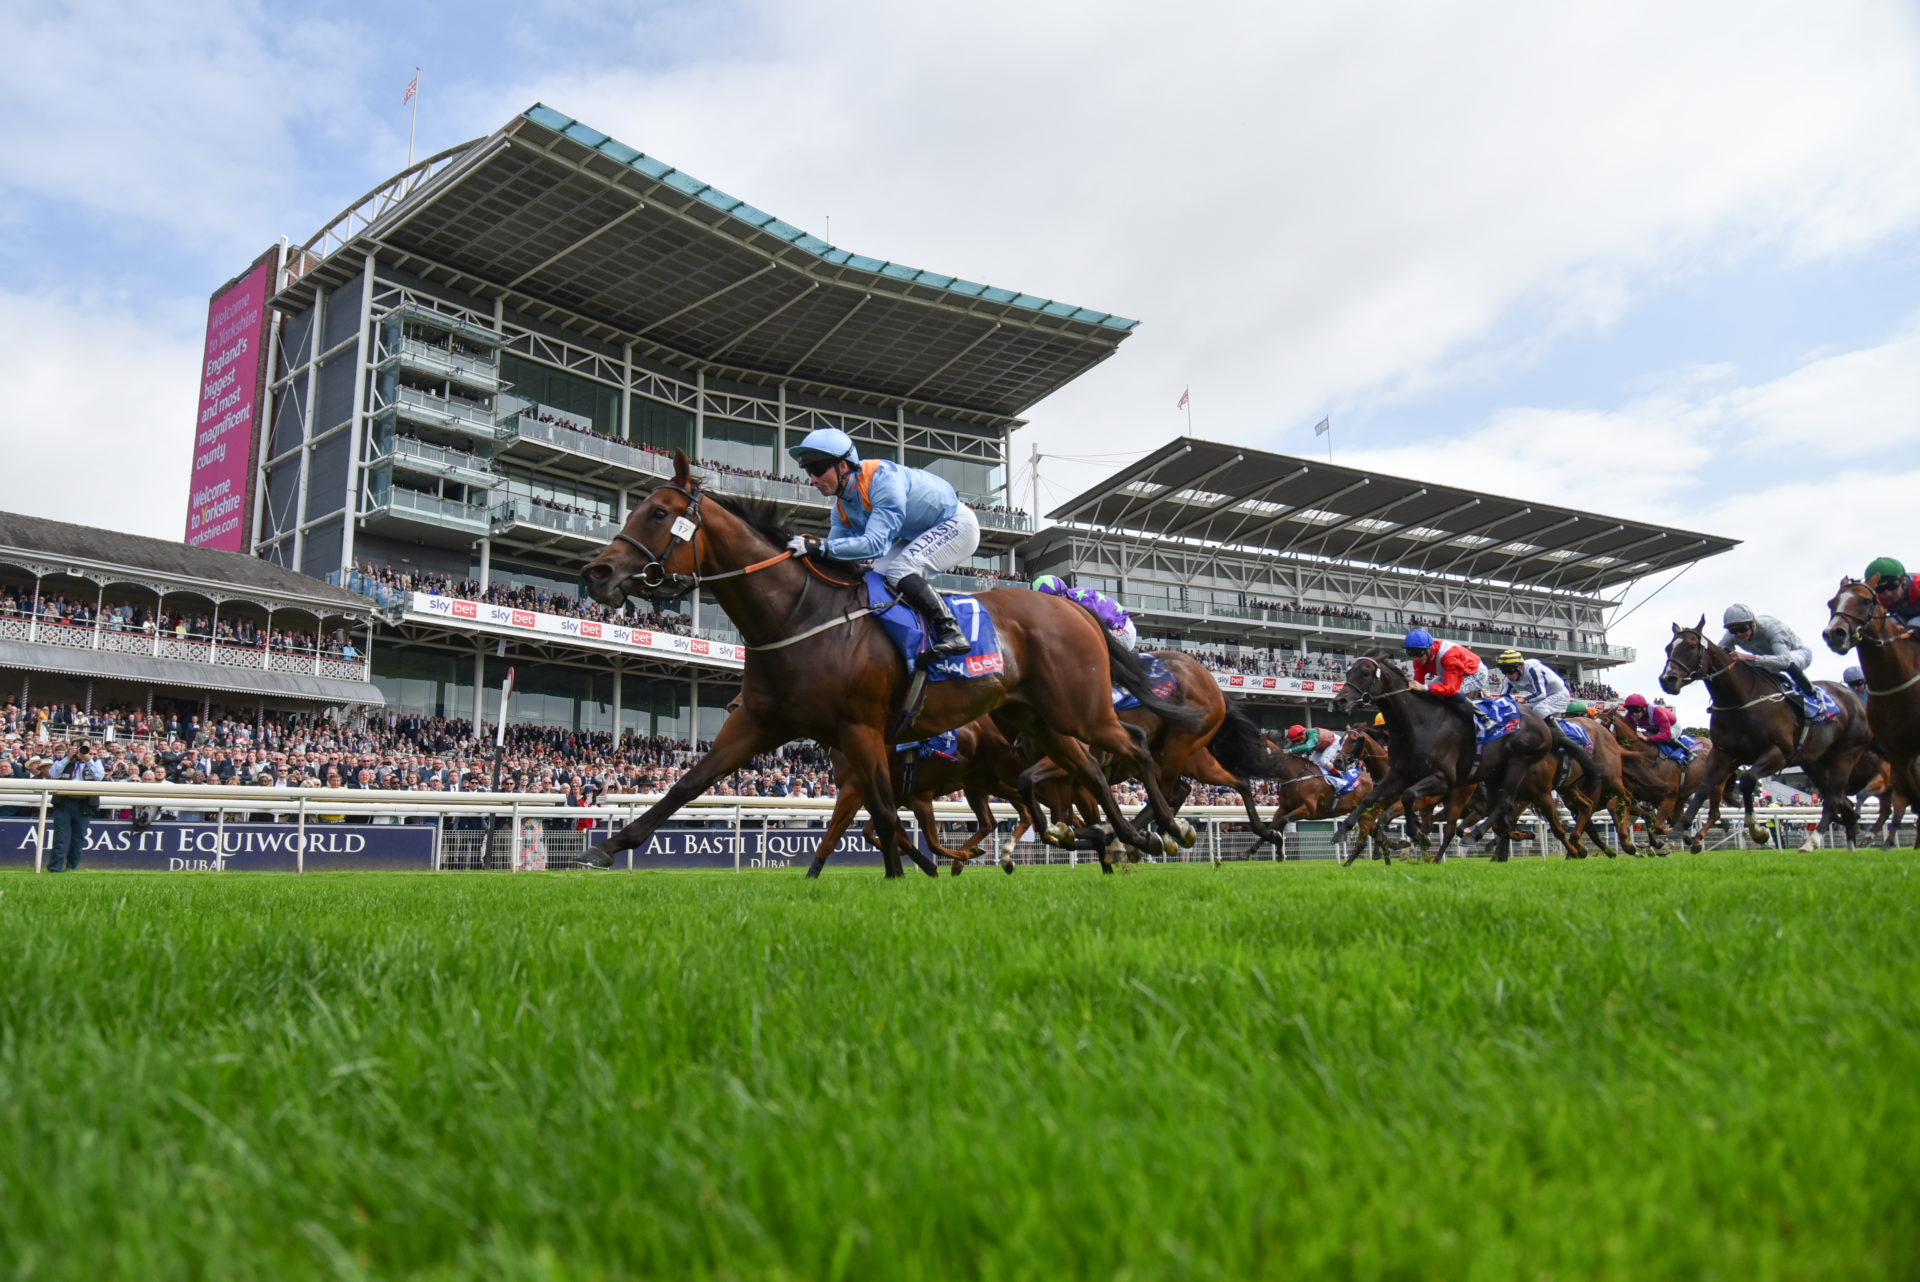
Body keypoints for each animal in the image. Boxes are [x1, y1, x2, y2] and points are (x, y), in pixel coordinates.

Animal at [576, 445, 1198, 875]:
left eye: (659, 513)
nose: (597, 572)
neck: (799, 615)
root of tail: (1072, 606)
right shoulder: (759, 722)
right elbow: (688, 785)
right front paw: (607, 847)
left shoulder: (861, 729)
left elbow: (879, 812)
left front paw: (903, 875)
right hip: (1037, 719)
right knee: (1089, 769)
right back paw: (1132, 838)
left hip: (1078, 707)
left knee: (1133, 747)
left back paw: (1169, 828)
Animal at [1658, 617, 1866, 852]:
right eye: (1668, 648)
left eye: (1692, 646)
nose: (1667, 679)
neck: (1740, 700)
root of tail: (1854, 698)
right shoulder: (1723, 753)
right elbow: (1703, 788)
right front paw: (1678, 831)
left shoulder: (1779, 752)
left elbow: (1748, 781)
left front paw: (1757, 830)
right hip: (1816, 764)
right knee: (1842, 801)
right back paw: (1850, 843)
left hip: (1845, 755)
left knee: (1833, 799)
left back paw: (1812, 842)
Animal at [1820, 583, 1920, 852]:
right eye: (1832, 603)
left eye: (1865, 601)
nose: (1834, 633)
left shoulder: (1884, 776)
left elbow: (1860, 795)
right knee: (1893, 810)